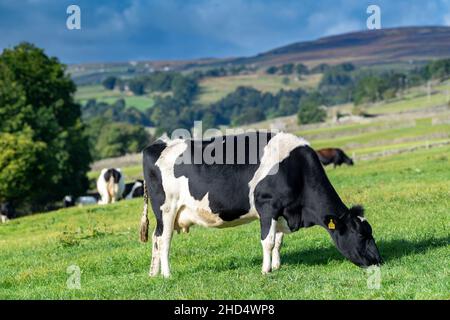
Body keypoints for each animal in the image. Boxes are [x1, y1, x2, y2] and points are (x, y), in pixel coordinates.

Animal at [139, 132, 382, 278]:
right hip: (167, 209)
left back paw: (153, 273)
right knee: (164, 241)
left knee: (155, 239)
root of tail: (156, 145)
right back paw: (167, 274)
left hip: (163, 216)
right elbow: (268, 241)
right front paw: (266, 270)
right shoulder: (268, 206)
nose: (378, 260)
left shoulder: (282, 211)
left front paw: (276, 265)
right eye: (361, 235)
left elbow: (278, 242)